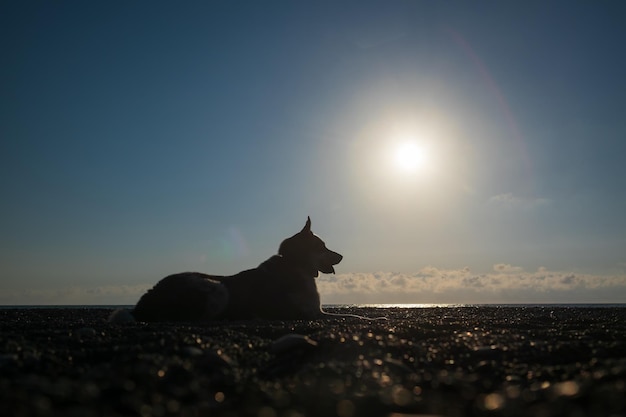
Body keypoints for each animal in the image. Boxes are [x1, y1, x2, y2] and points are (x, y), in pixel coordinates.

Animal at [114, 216, 344, 320]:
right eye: (322, 246)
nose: (342, 256)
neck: (295, 263)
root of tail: (145, 299)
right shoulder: (312, 313)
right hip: (217, 287)